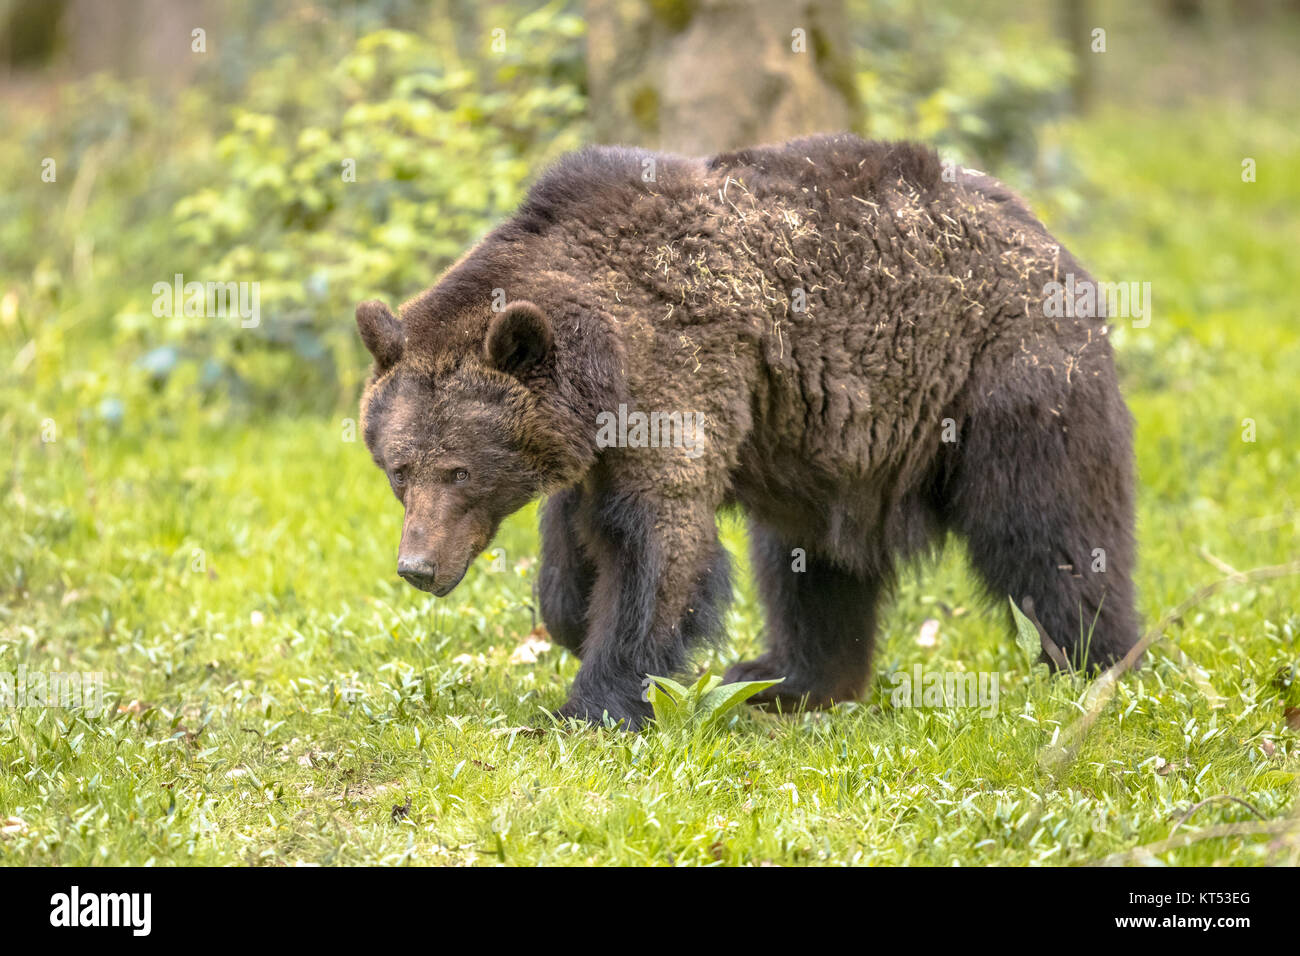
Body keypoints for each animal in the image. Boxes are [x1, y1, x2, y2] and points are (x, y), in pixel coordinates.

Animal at [356, 134, 1138, 728]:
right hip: (829, 450)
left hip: (1004, 379)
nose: (417, 566)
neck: (606, 357)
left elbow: (658, 545)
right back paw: (788, 679)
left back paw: (1092, 659)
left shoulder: (681, 376)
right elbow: (575, 541)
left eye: (460, 469)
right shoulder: (603, 439)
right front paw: (573, 617)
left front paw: (597, 703)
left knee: (1048, 530)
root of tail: (1044, 233)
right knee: (811, 563)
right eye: (399, 470)